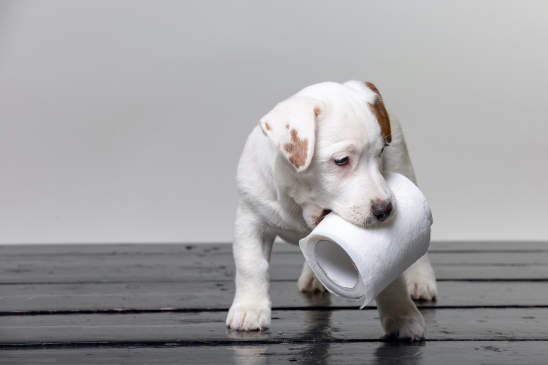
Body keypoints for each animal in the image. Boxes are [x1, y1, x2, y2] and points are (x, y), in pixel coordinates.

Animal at [226, 81, 436, 340]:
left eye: (379, 154)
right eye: (341, 160)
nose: (385, 210)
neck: (299, 205)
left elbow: (392, 278)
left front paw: (402, 314)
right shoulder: (250, 218)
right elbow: (251, 265)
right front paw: (250, 309)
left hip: (403, 165)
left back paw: (421, 279)